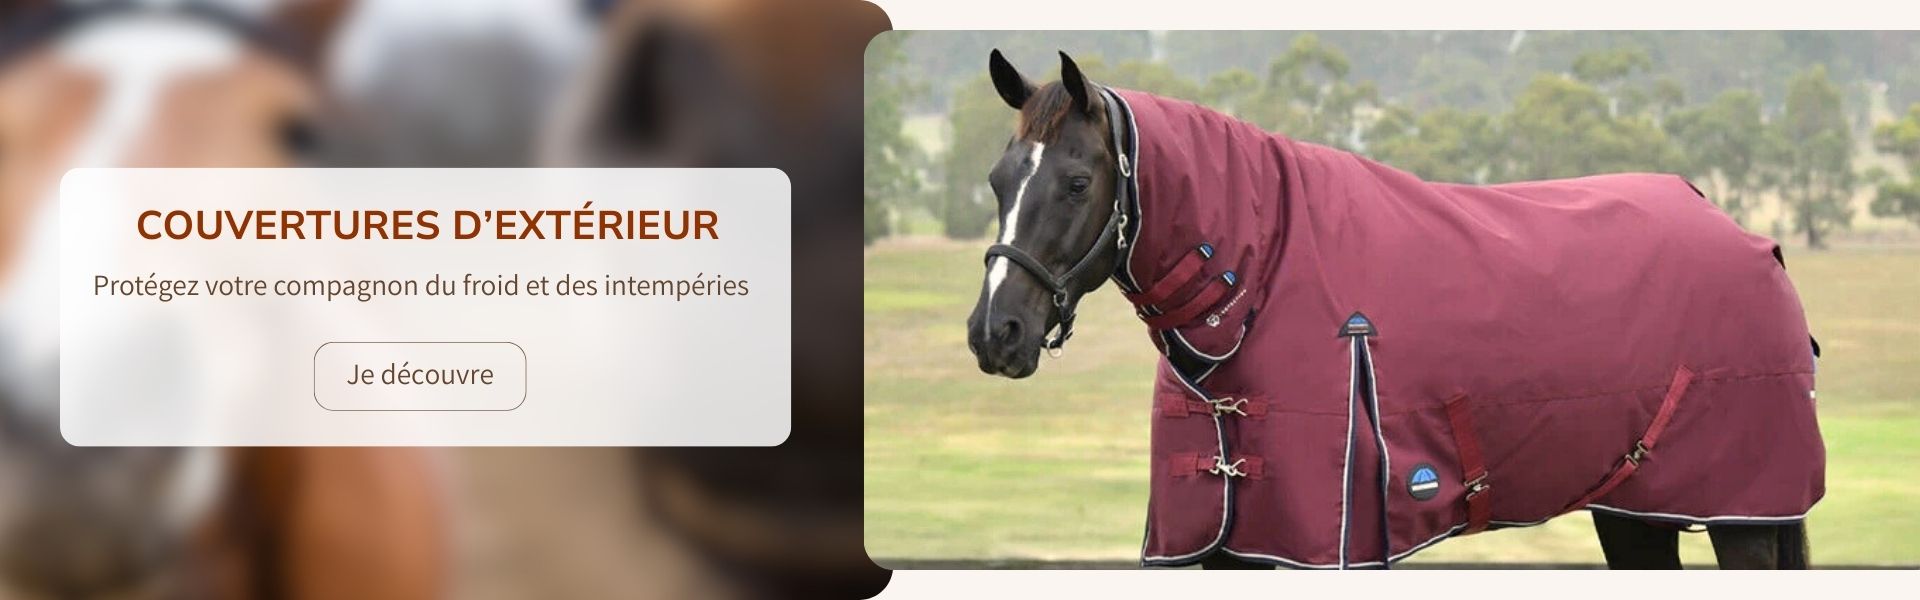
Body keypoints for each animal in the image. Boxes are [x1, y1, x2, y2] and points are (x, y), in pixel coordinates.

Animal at [964, 50, 1822, 570]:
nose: (994, 333)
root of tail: (1750, 239)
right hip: (1634, 511)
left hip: (1744, 518)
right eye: (999, 180)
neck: (1258, 284)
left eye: (1077, 182)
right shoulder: (1211, 545)